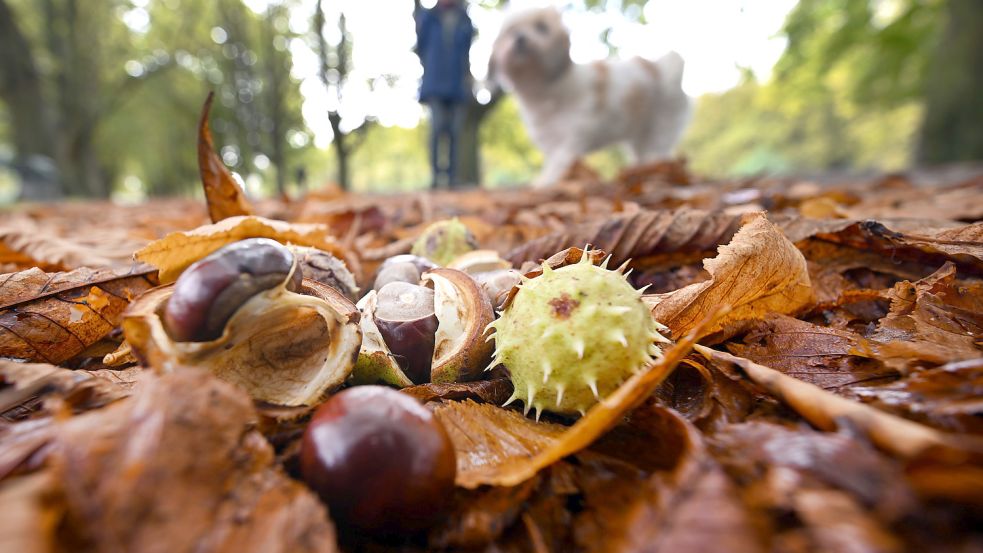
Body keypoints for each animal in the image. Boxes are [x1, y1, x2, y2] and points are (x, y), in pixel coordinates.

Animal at [492, 6, 692, 187]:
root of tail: (661, 67)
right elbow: (554, 160)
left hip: (661, 125)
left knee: (657, 153)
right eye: (510, 31)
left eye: (541, 27)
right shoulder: (549, 138)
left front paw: (545, 182)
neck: (544, 90)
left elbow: (560, 162)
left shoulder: (575, 133)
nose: (519, 38)